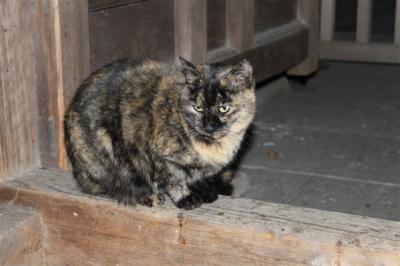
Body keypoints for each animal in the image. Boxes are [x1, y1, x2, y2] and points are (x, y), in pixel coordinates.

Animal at [63, 57, 255, 209]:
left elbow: (199, 177)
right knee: (116, 186)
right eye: (198, 108)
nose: (208, 127)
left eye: (224, 108)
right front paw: (185, 198)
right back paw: (148, 196)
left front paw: (205, 191)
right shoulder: (159, 155)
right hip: (108, 152)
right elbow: (174, 179)